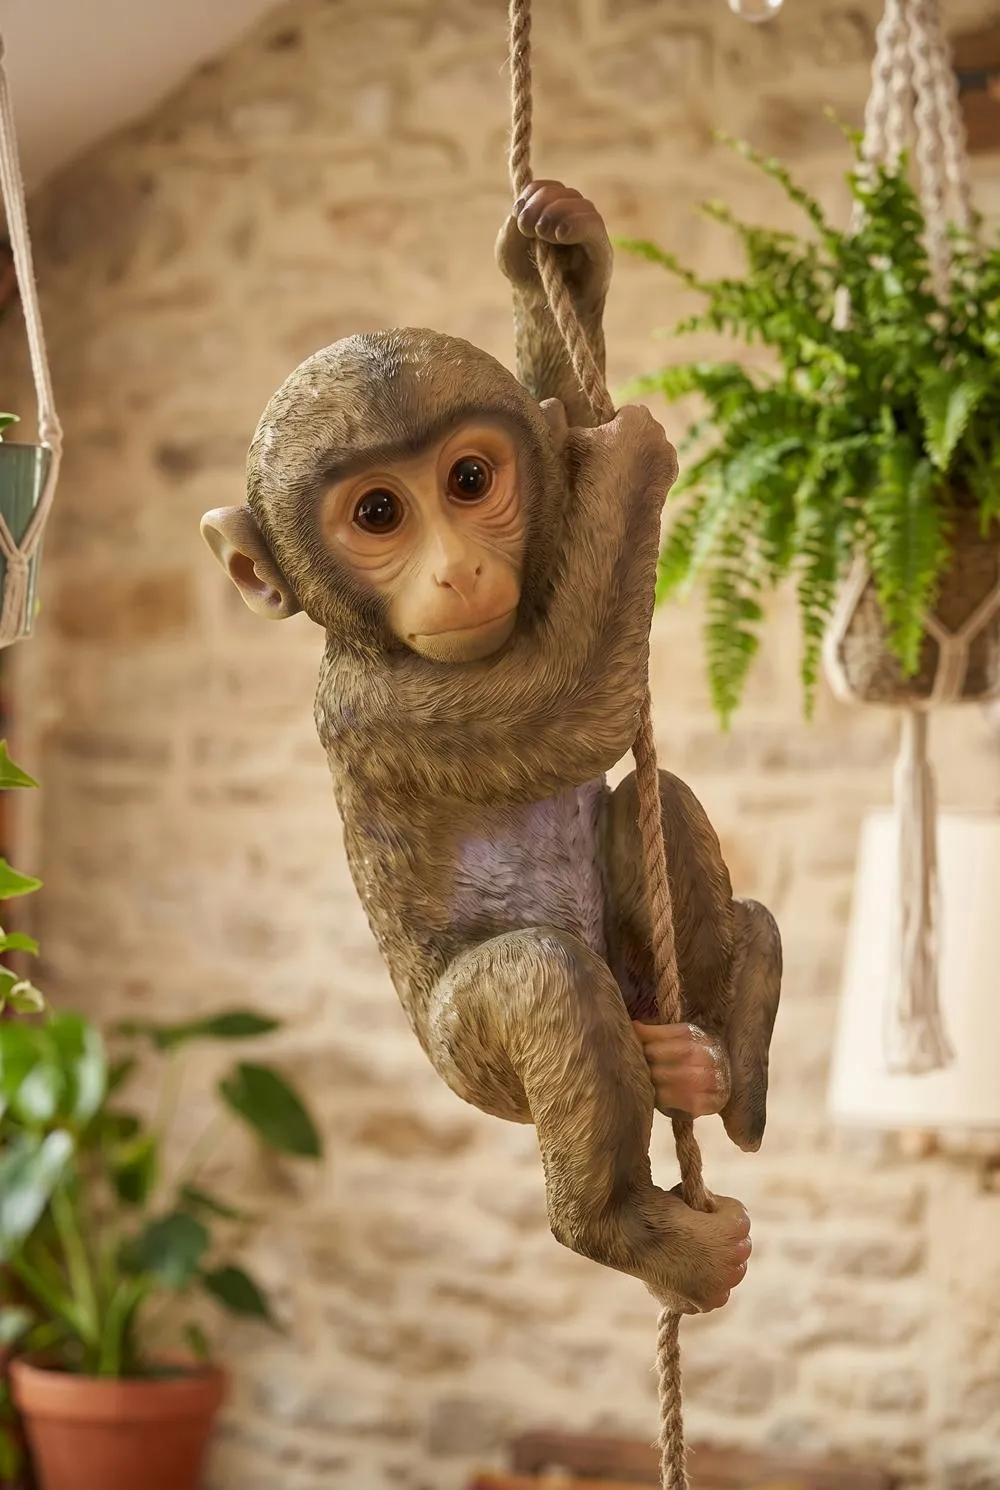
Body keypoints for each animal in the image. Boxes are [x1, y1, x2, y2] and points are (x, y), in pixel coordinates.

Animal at [201, 180, 781, 1315]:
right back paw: (631, 1229)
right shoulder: (372, 706)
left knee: (655, 808)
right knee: (540, 980)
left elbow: (557, 453)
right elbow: (571, 702)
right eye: (380, 510)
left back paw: (724, 1041)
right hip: (466, 1062)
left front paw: (558, 256)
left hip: (637, 986)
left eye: (470, 479)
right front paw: (633, 456)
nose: (459, 568)